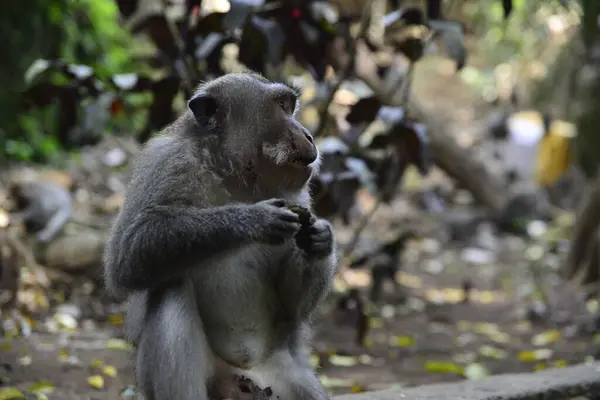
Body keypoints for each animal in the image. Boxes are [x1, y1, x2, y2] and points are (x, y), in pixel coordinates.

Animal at [102, 72, 338, 400]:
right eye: (281, 106)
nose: (308, 134)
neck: (232, 177)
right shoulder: (164, 163)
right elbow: (127, 255)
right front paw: (254, 219)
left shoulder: (300, 197)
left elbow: (293, 306)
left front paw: (320, 239)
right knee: (171, 290)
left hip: (283, 376)